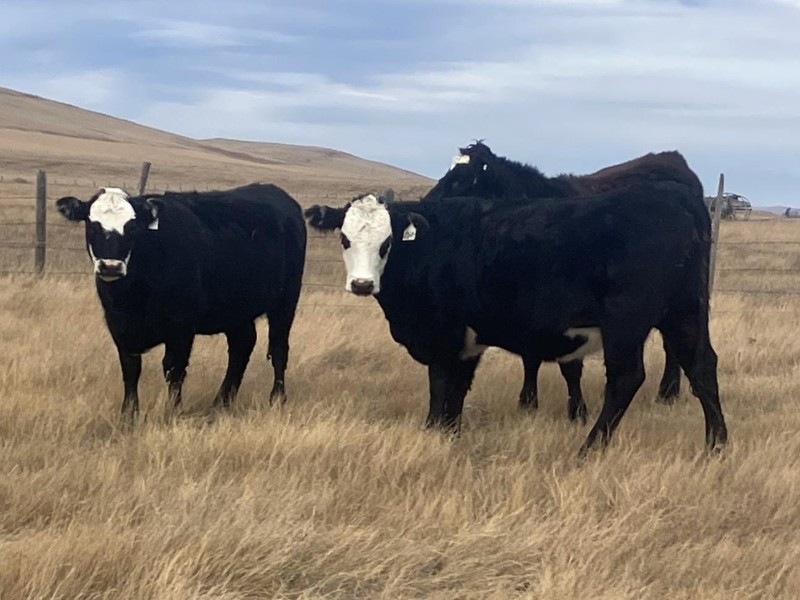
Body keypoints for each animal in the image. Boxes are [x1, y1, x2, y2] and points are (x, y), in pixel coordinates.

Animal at [56, 183, 306, 418]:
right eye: (92, 225)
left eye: (132, 227)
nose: (111, 266)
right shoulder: (119, 326)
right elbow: (130, 370)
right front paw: (128, 415)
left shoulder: (181, 326)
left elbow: (173, 369)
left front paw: (173, 412)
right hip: (236, 311)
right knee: (241, 347)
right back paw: (221, 403)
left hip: (285, 303)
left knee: (278, 349)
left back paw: (277, 398)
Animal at [304, 191, 727, 456]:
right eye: (344, 239)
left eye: (387, 243)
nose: (362, 284)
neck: (429, 244)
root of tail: (673, 198)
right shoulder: (468, 342)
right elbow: (456, 393)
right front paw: (450, 434)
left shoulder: (444, 336)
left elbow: (440, 390)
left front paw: (433, 434)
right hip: (685, 311)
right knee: (702, 366)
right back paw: (717, 446)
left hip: (627, 320)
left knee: (627, 378)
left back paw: (588, 449)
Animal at [421, 142, 702, 418]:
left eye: (460, 180)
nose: (425, 205)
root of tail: (673, 160)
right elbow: (530, 357)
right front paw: (528, 402)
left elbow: (570, 366)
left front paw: (577, 411)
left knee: (672, 347)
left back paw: (667, 393)